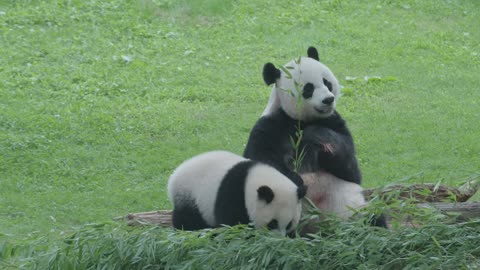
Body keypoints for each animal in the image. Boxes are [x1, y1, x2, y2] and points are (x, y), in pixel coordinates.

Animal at [167, 151, 308, 235]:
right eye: (272, 223)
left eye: (289, 224)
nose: (278, 239)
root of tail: (174, 176)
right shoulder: (233, 195)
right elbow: (232, 224)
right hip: (190, 196)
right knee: (188, 220)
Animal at [244, 47, 386, 229]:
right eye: (308, 89)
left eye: (327, 82)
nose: (328, 99)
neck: (302, 120)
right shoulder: (269, 127)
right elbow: (261, 161)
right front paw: (297, 180)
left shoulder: (333, 121)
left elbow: (350, 168)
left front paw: (314, 135)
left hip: (350, 209)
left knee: (372, 218)